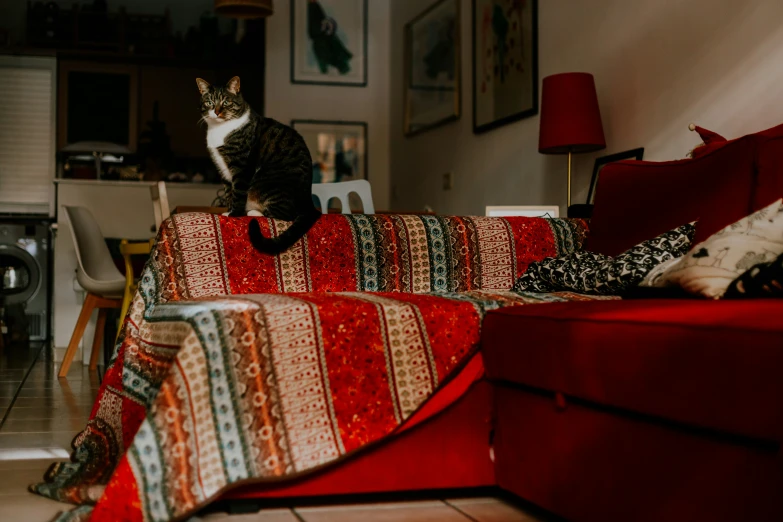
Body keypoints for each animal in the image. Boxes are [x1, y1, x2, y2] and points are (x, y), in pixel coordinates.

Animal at [199, 76, 322, 255]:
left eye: (226, 102)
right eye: (209, 102)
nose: (217, 111)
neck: (220, 130)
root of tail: (309, 203)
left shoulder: (241, 167)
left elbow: (238, 192)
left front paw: (235, 214)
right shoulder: (223, 169)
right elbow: (229, 192)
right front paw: (228, 210)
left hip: (267, 181)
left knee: (286, 214)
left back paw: (254, 212)